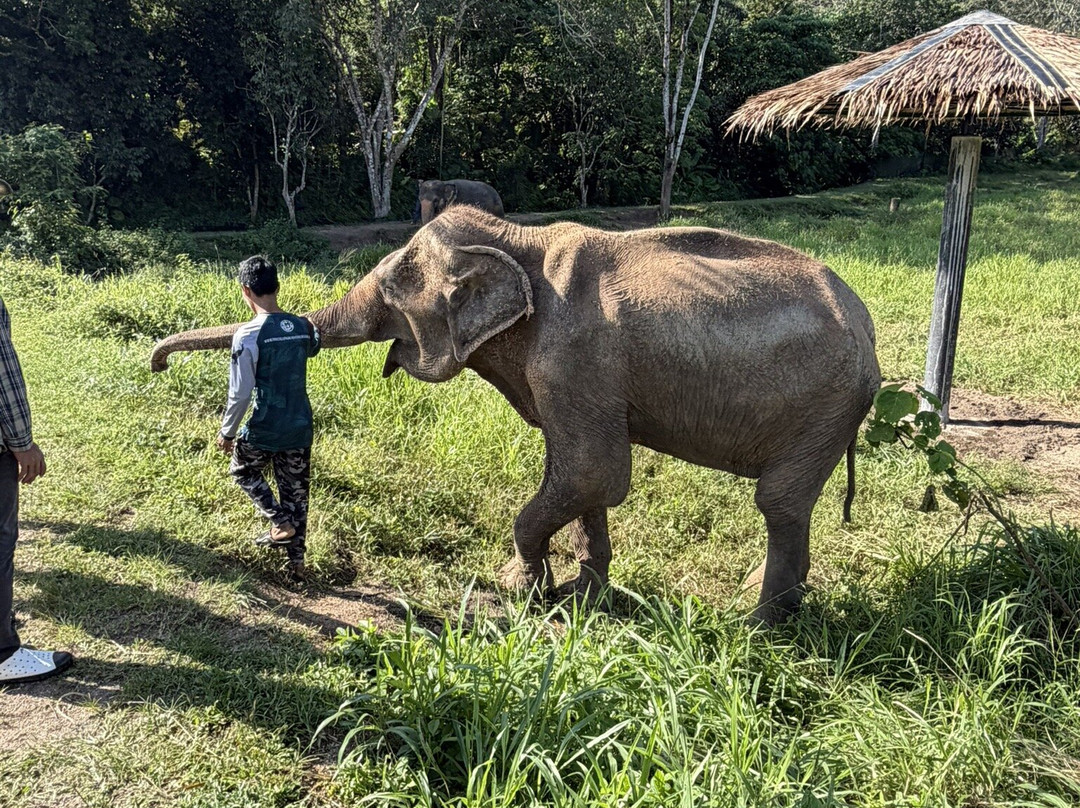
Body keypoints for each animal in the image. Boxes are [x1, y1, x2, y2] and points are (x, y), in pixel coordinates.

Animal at [150, 207, 881, 623]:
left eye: (392, 289)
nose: (155, 363)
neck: (517, 240)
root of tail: (869, 333)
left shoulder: (571, 356)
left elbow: (593, 470)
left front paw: (518, 590)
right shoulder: (570, 374)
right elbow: (583, 475)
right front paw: (582, 599)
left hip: (825, 405)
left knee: (777, 501)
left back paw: (755, 626)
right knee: (789, 505)